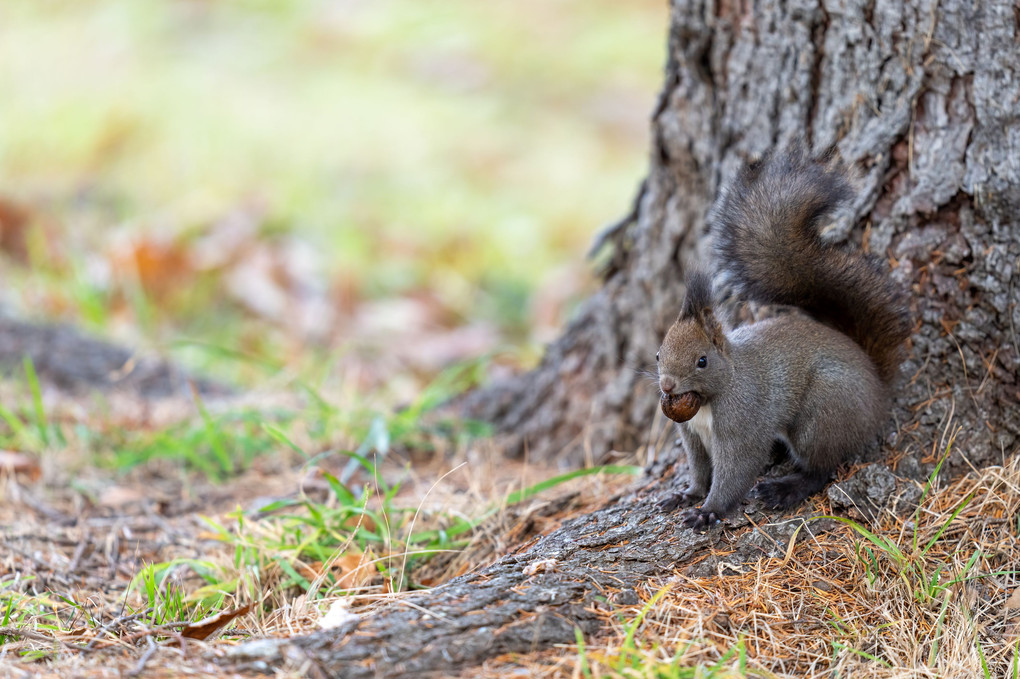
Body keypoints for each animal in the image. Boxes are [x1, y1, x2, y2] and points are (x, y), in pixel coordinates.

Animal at [656, 146, 913, 530]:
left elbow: (735, 470)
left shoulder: (742, 423)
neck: (709, 399)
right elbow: (700, 471)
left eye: (702, 360)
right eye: (658, 355)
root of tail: (878, 391)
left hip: (822, 414)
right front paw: (687, 495)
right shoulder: (692, 436)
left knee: (821, 468)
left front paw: (709, 511)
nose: (668, 386)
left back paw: (787, 489)